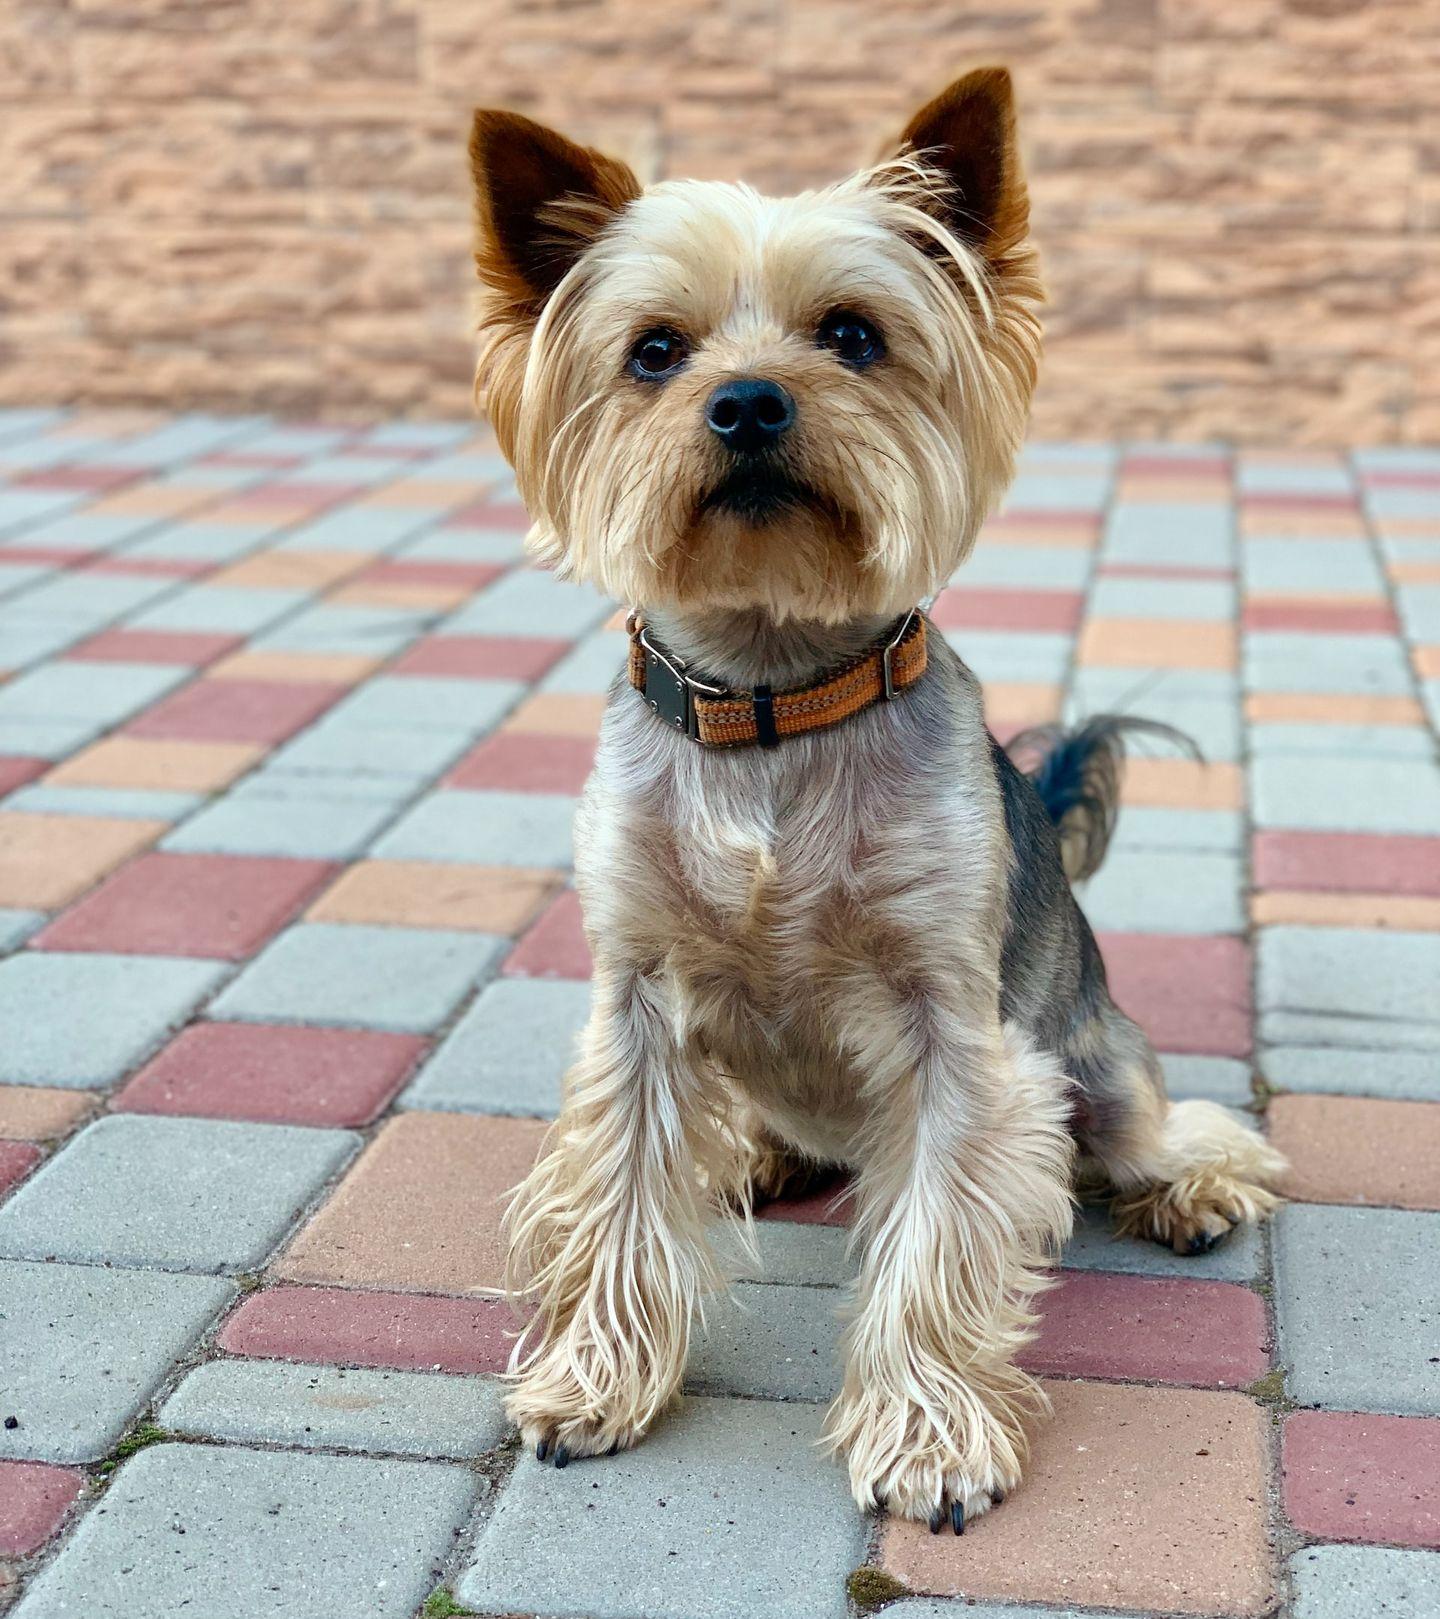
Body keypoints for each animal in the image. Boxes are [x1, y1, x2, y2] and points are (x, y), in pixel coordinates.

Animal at [463, 66, 1282, 1528]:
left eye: (851, 334)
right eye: (655, 351)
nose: (746, 402)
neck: (771, 701)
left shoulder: (958, 1029)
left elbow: (940, 1232)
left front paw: (930, 1432)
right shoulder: (639, 1000)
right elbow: (619, 1188)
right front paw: (596, 1376)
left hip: (1093, 1061)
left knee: (1149, 1126)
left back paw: (1192, 1184)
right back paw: (761, 1150)